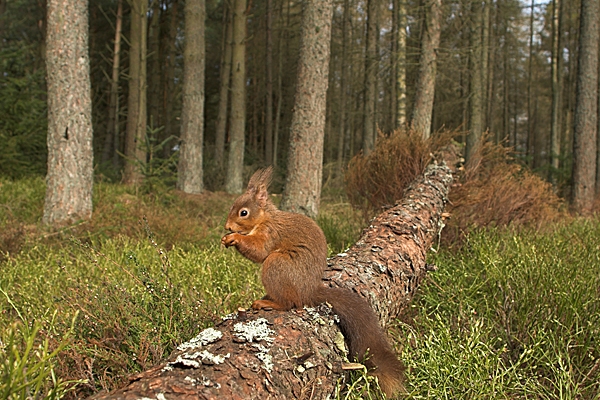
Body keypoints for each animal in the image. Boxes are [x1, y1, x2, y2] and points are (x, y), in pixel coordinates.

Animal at [220, 166, 404, 396]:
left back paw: (268, 303)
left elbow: (259, 251)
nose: (227, 227)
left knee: (289, 303)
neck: (265, 218)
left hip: (276, 266)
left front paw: (234, 238)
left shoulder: (270, 233)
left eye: (243, 212)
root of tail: (308, 292)